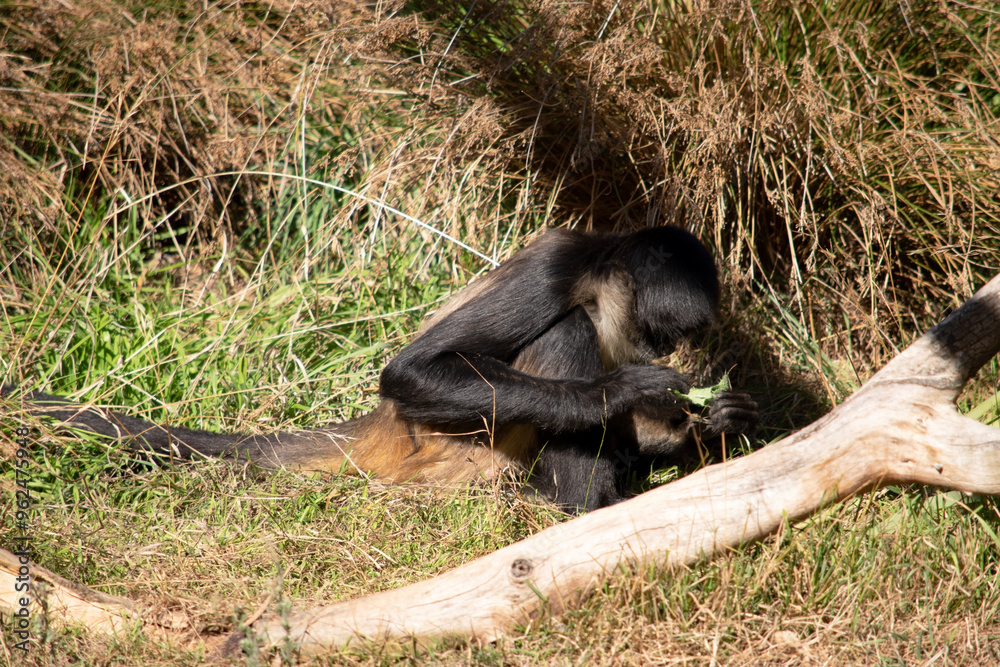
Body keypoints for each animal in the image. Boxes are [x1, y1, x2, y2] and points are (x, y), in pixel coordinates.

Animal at [3, 226, 758, 512]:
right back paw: (580, 511)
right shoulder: (557, 263)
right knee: (562, 333)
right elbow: (412, 371)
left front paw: (710, 421)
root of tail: (383, 432)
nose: (661, 355)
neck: (601, 277)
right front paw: (619, 390)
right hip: (457, 453)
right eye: (662, 331)